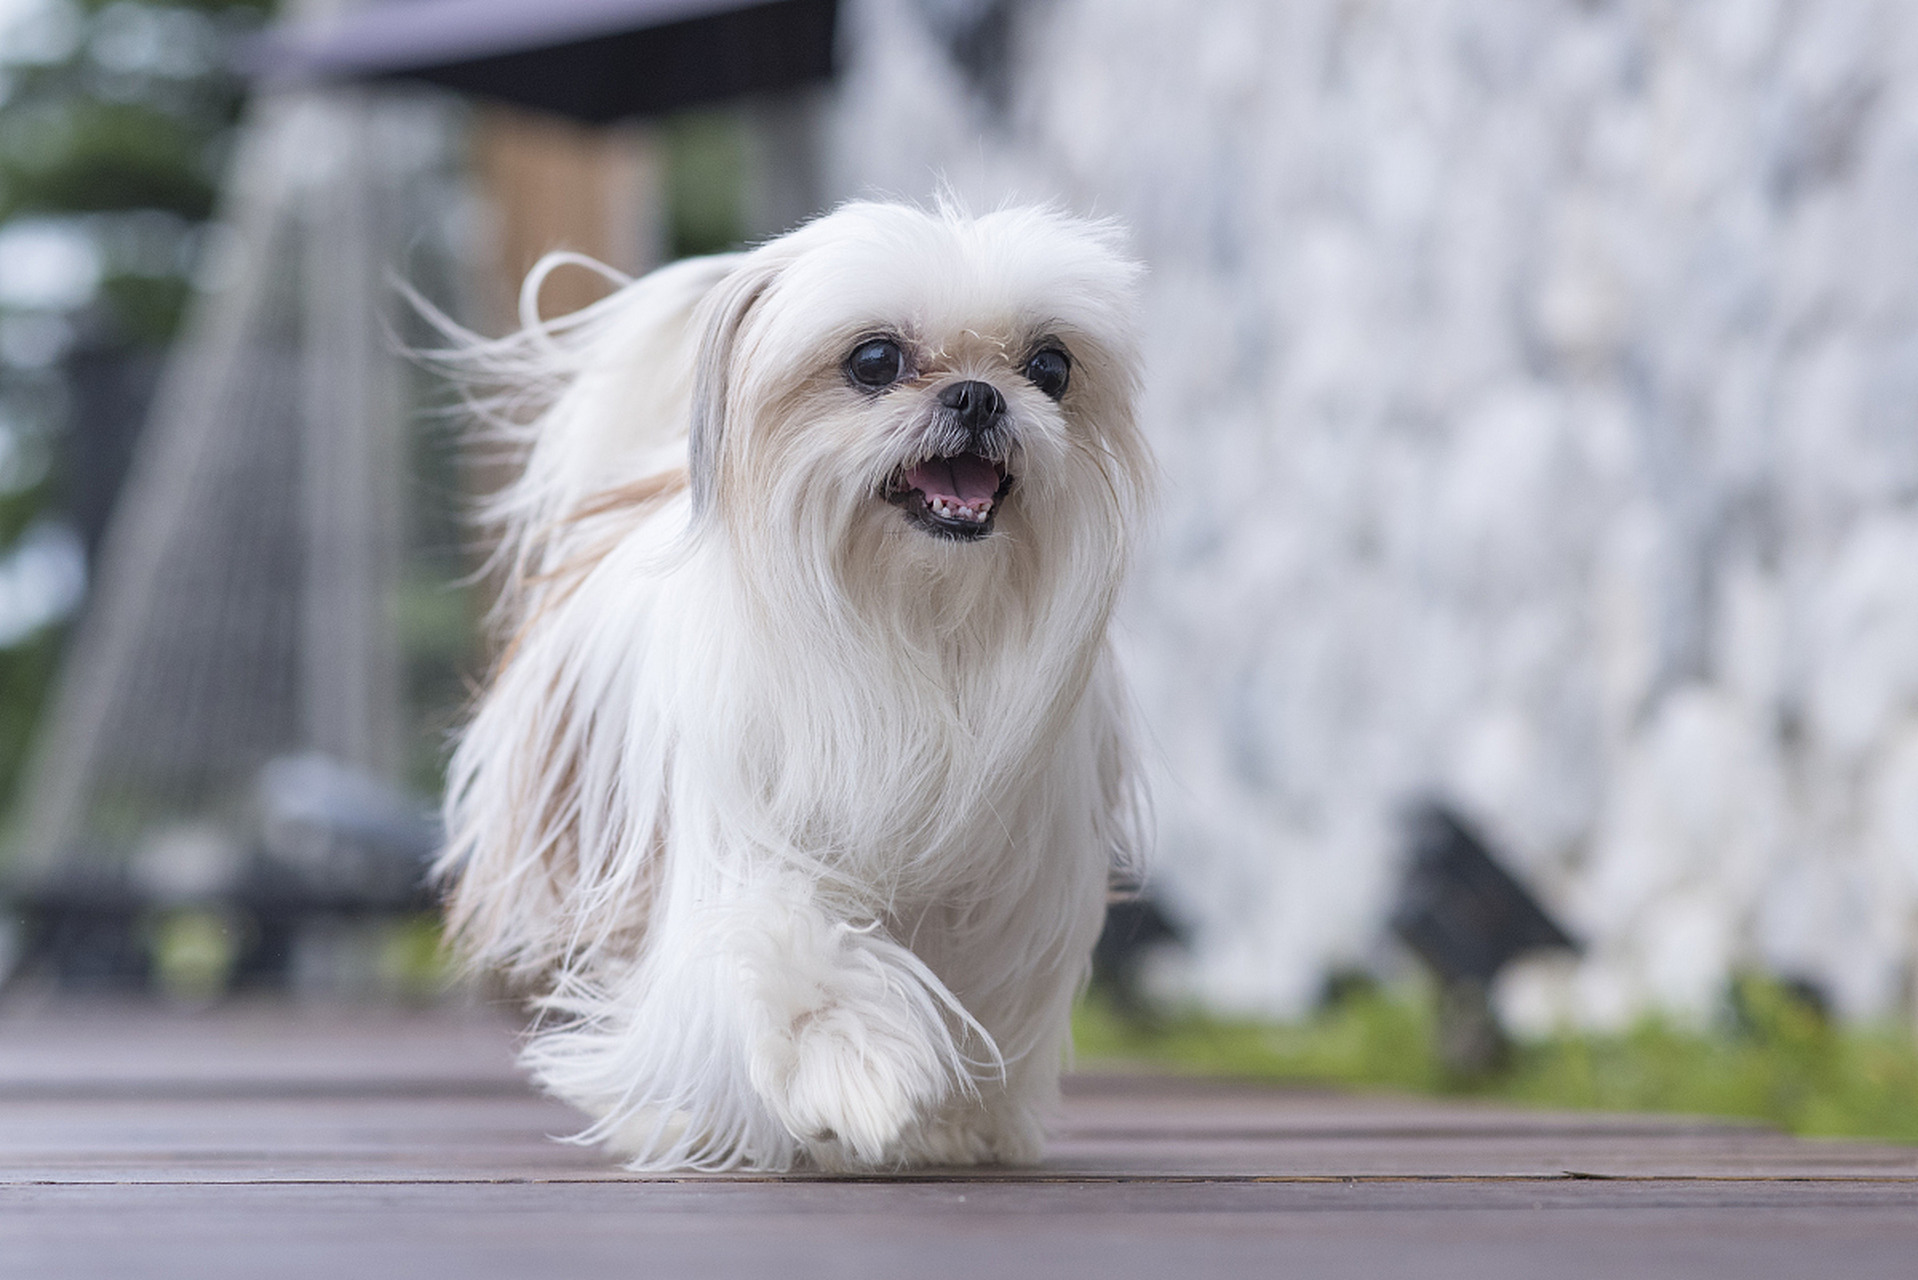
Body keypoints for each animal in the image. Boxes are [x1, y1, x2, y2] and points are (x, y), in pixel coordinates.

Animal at [435, 200, 1150, 1174]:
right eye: (875, 359)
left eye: (1051, 365)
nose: (978, 393)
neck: (917, 624)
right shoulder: (747, 840)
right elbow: (795, 948)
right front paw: (851, 1067)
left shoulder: (1016, 888)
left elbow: (988, 994)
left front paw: (956, 1118)